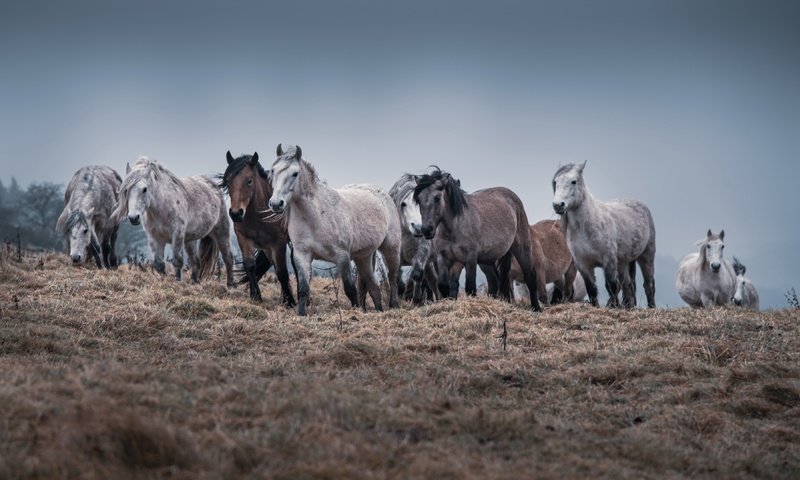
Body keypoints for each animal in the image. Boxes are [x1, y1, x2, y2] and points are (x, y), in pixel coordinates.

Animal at [268, 143, 404, 316]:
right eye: (273, 171)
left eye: (295, 173)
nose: (276, 204)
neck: (315, 217)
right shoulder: (302, 255)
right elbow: (303, 289)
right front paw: (301, 314)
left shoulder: (342, 257)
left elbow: (350, 289)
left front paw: (355, 312)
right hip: (363, 257)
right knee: (373, 286)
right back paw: (379, 310)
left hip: (391, 248)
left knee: (392, 277)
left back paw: (393, 305)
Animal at [416, 168, 540, 312]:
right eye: (418, 199)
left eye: (437, 198)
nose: (427, 230)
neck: (454, 227)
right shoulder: (444, 258)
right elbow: (444, 287)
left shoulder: (470, 258)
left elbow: (470, 288)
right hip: (486, 260)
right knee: (495, 282)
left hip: (522, 249)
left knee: (530, 277)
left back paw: (537, 308)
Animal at [552, 161, 656, 308]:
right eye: (556, 182)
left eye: (573, 181)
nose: (558, 205)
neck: (586, 228)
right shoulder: (583, 265)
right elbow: (591, 289)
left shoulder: (609, 261)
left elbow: (611, 286)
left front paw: (614, 307)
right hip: (623, 263)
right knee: (628, 286)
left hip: (647, 256)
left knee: (649, 285)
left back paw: (652, 307)